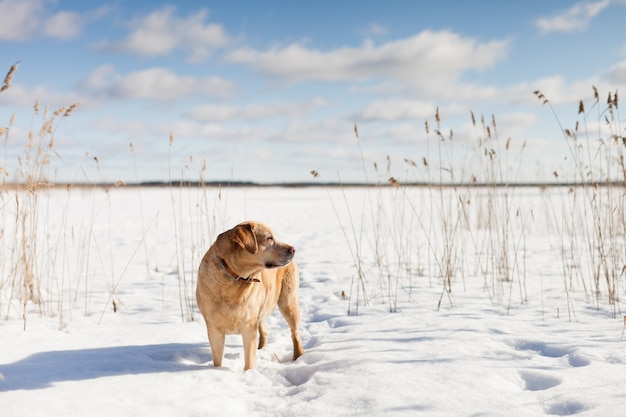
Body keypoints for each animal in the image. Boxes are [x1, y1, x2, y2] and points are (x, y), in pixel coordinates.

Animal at [195, 219, 302, 368]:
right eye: (269, 238)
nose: (293, 249)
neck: (236, 278)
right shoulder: (214, 329)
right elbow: (217, 360)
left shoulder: (249, 326)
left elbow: (249, 360)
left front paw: (249, 372)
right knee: (264, 329)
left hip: (288, 301)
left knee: (295, 332)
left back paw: (298, 355)